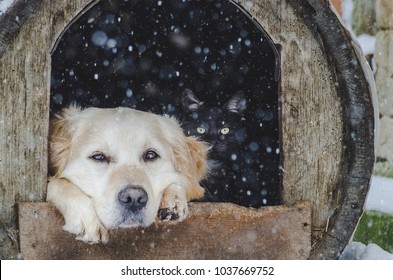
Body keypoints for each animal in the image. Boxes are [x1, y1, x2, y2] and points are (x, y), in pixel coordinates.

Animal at [46, 106, 208, 244]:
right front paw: (87, 217)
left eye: (151, 155)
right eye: (98, 157)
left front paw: (173, 197)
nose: (134, 198)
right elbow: (56, 183)